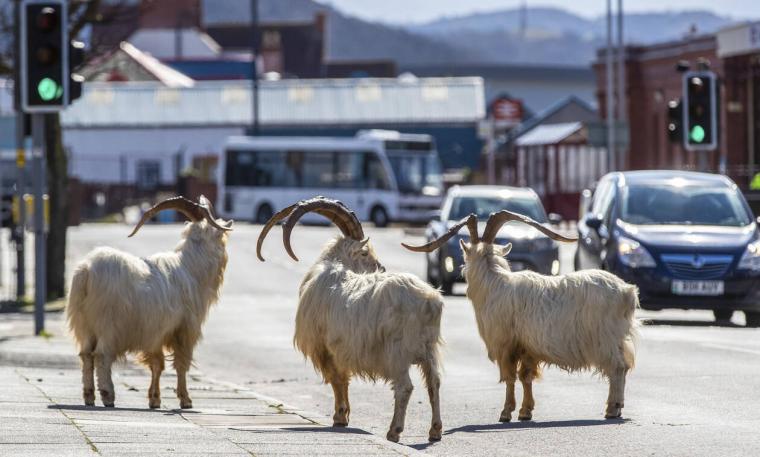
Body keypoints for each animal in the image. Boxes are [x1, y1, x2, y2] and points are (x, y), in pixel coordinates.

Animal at [65, 194, 232, 408]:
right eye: (221, 237)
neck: (190, 268)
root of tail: (86, 271)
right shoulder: (184, 329)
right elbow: (181, 364)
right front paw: (185, 400)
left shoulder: (155, 332)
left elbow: (156, 364)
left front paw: (155, 399)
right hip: (108, 324)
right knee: (102, 355)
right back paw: (108, 395)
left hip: (84, 324)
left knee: (86, 355)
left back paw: (89, 396)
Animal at [256, 197, 446, 442]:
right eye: (365, 253)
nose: (381, 267)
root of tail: (429, 301)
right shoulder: (341, 349)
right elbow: (343, 379)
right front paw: (344, 416)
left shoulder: (325, 348)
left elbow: (336, 380)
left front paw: (339, 417)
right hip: (428, 349)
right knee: (434, 382)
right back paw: (435, 430)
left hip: (397, 352)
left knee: (404, 387)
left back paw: (394, 431)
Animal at [404, 212, 636, 422]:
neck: (494, 283)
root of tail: (626, 291)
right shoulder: (527, 348)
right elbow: (526, 377)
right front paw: (526, 411)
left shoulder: (505, 345)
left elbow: (509, 377)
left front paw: (506, 413)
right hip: (617, 339)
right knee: (624, 366)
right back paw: (618, 408)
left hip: (604, 338)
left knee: (617, 367)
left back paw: (612, 408)